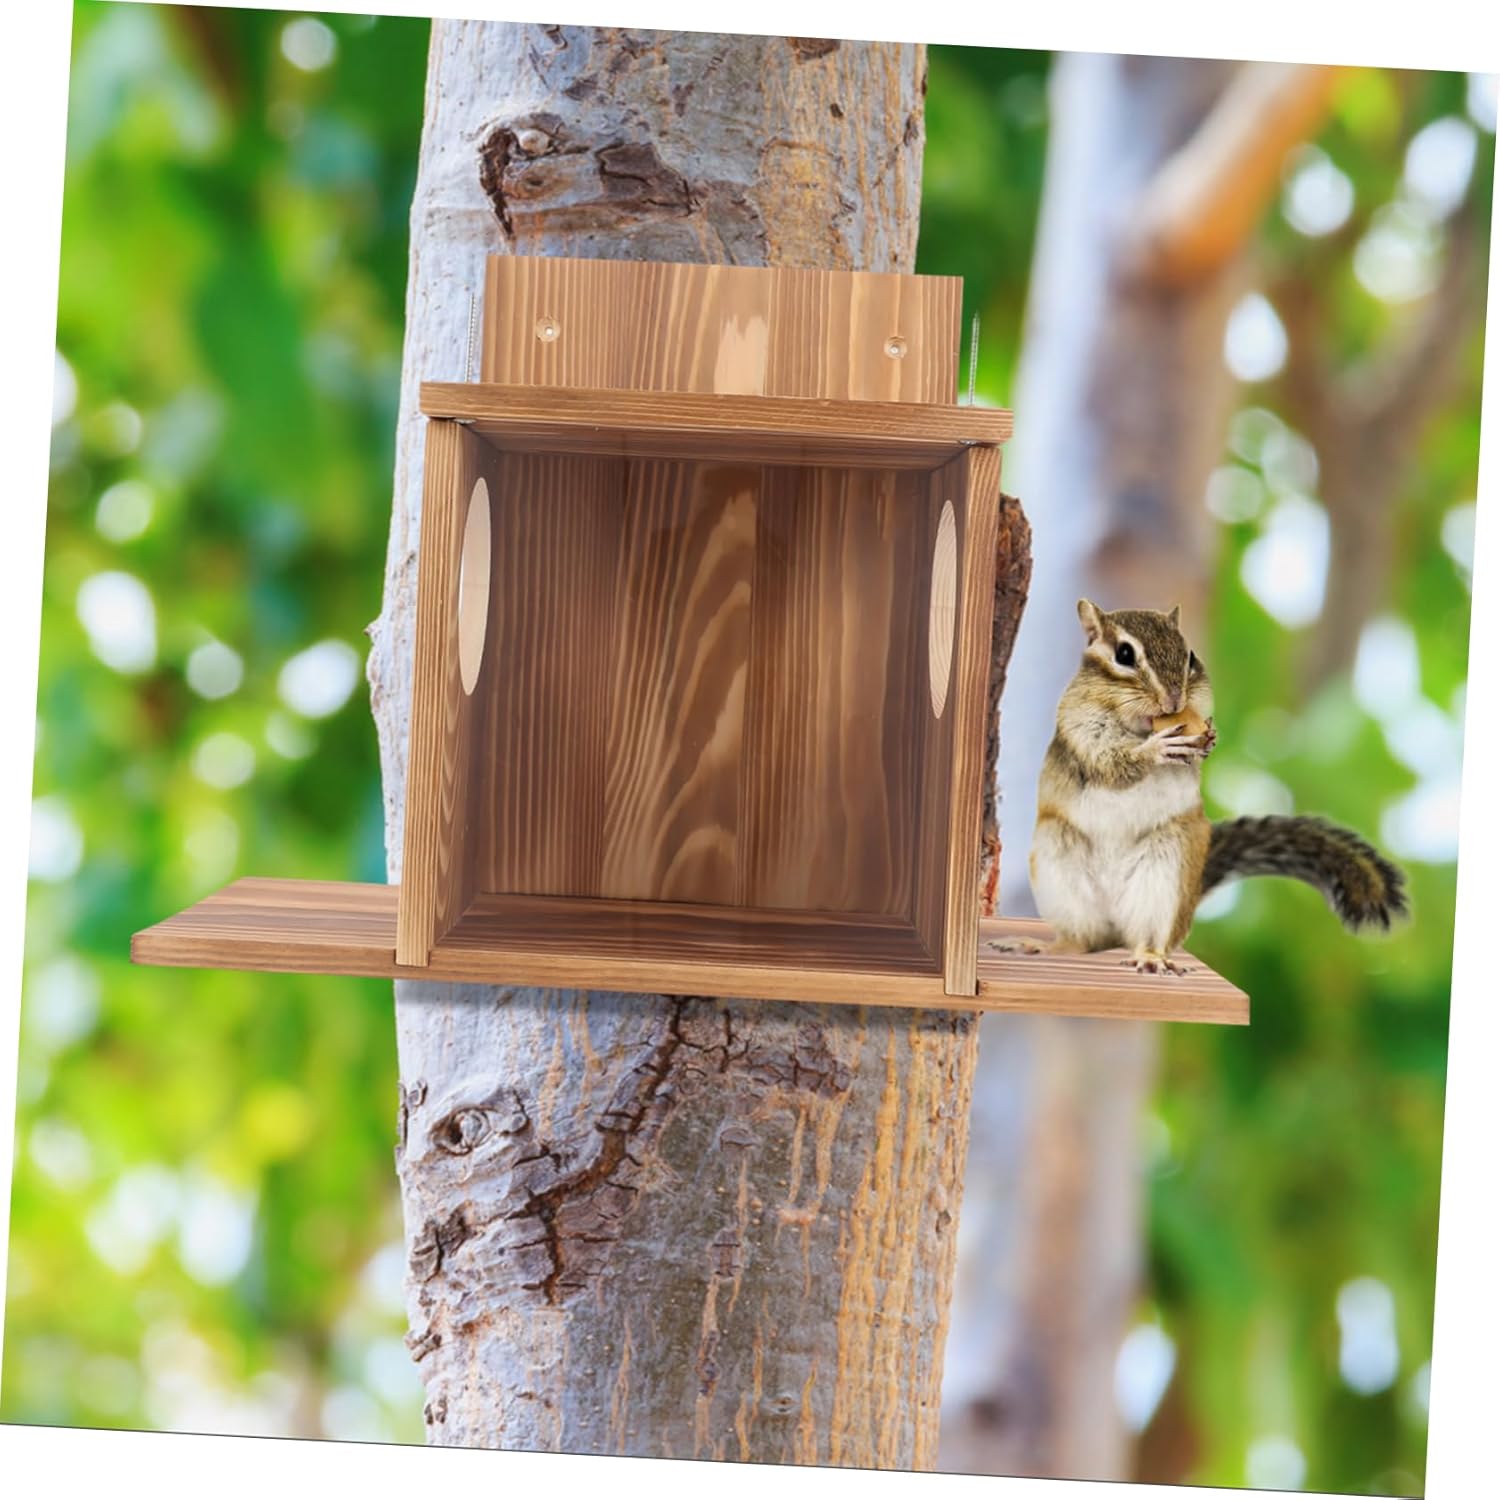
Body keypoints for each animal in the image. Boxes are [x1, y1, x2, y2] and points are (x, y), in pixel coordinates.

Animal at [992, 599, 1409, 975]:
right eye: (1124, 654)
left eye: (1190, 656)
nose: (1175, 699)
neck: (1139, 726)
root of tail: (1117, 929)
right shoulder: (1080, 726)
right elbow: (1110, 761)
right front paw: (1157, 749)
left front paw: (1208, 739)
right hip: (1059, 865)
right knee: (1082, 941)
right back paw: (1042, 946)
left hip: (1168, 872)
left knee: (1148, 935)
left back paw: (1150, 957)